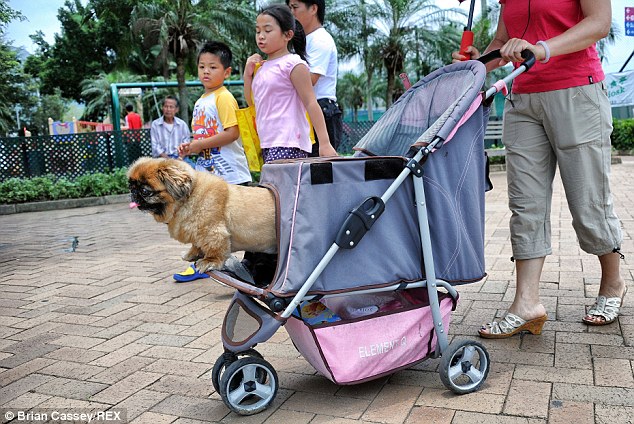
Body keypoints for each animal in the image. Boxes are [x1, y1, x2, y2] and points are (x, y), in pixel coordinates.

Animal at [127, 158, 276, 272]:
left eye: (145, 191)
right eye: (131, 186)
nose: (133, 192)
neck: (187, 199)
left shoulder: (212, 232)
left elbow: (215, 249)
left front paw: (209, 261)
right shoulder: (197, 232)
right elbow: (196, 244)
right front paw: (191, 254)